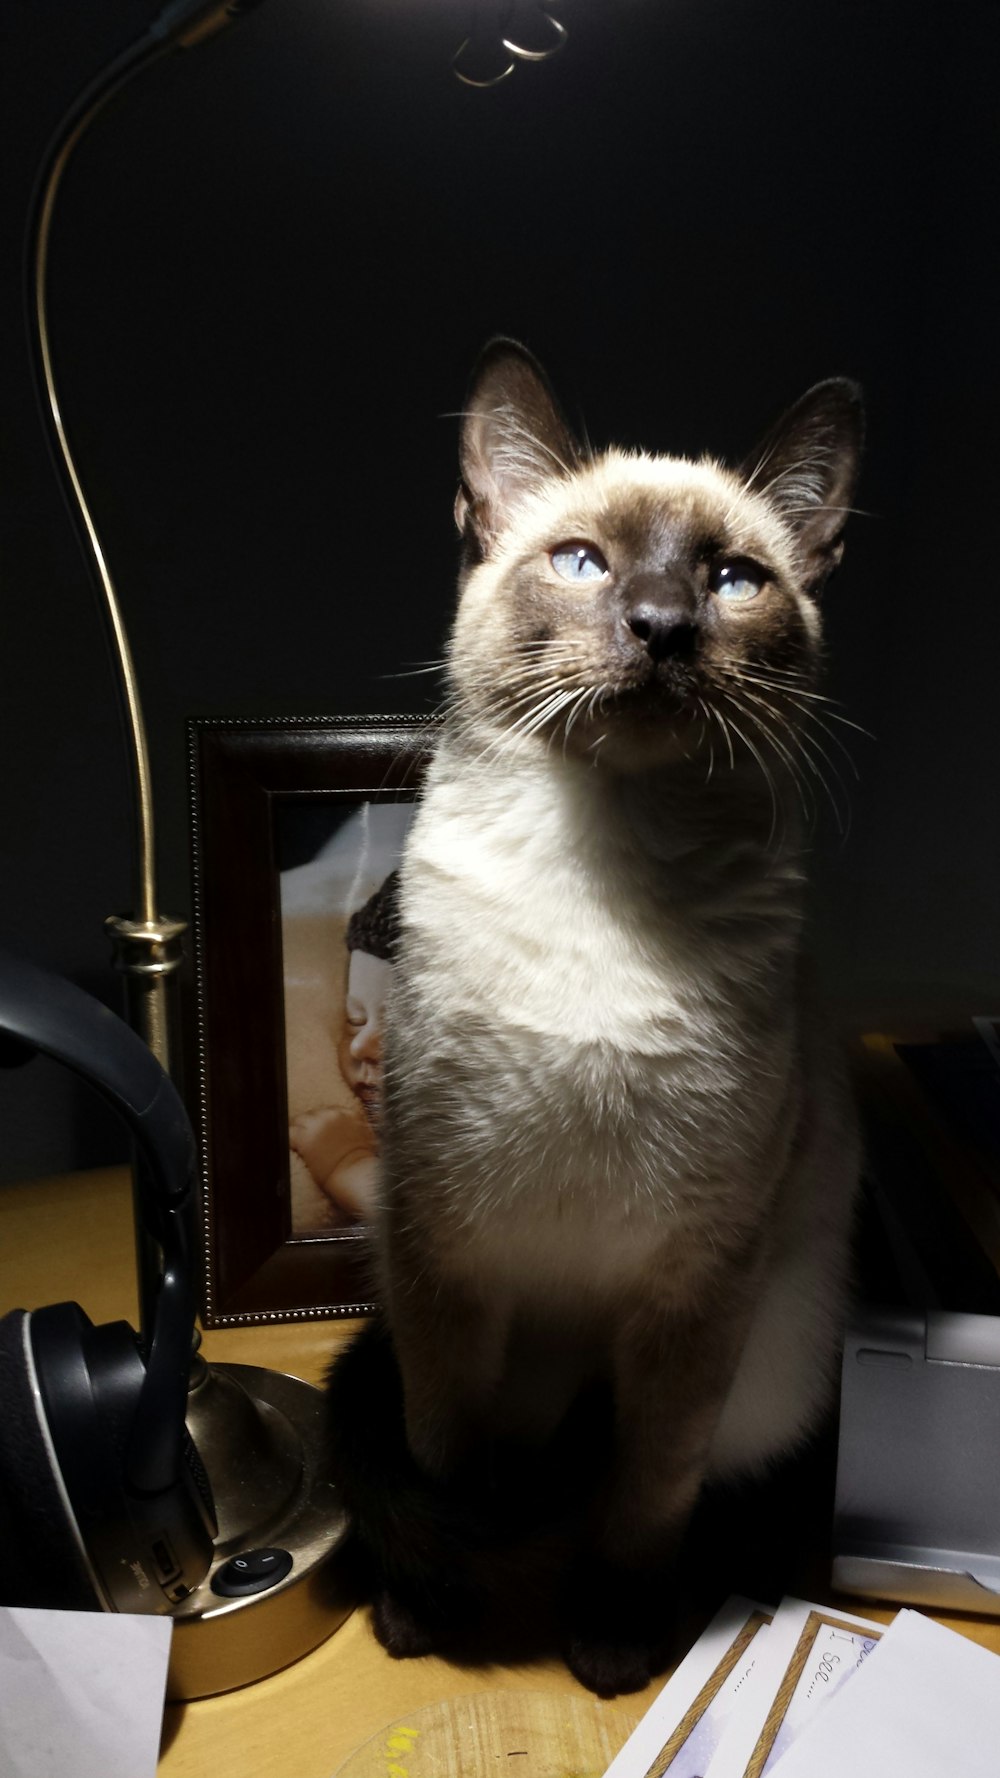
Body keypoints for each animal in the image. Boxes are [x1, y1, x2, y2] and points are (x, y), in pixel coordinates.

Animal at [323, 343, 861, 1692]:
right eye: (582, 563)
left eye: (731, 579)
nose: (661, 627)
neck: (604, 878)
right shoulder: (443, 1259)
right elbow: (441, 1465)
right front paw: (428, 1614)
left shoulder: (695, 1292)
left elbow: (643, 1498)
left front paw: (612, 1645)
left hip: (774, 1352)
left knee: (694, 1480)